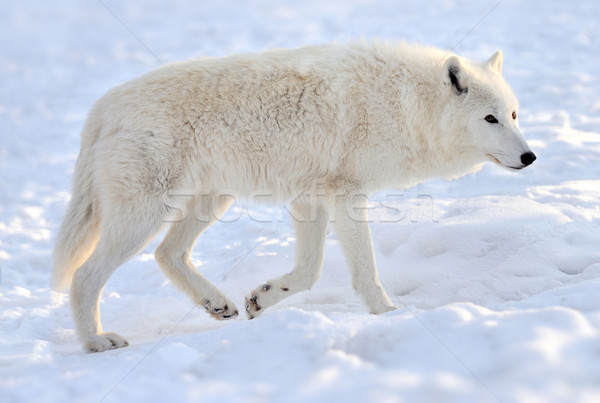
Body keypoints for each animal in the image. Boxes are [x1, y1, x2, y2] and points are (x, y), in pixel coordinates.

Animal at [52, 40, 536, 350]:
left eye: (513, 115)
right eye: (490, 119)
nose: (530, 156)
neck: (403, 102)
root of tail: (103, 107)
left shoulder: (310, 199)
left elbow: (308, 272)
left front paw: (261, 298)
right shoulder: (346, 195)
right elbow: (364, 273)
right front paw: (389, 314)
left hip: (212, 201)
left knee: (167, 255)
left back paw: (218, 304)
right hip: (145, 216)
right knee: (85, 277)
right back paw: (96, 341)